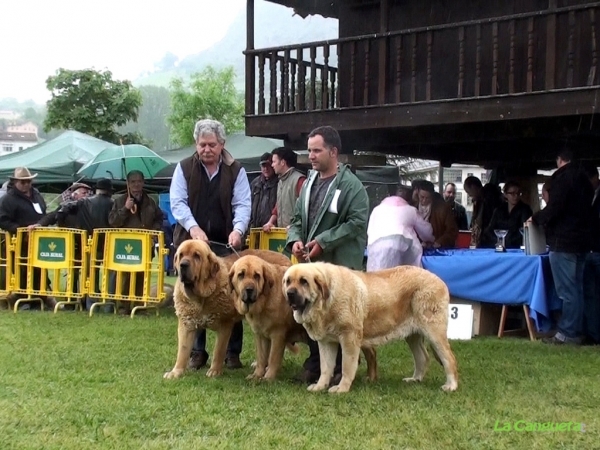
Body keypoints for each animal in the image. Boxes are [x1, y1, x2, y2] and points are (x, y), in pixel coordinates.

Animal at [284, 264, 458, 394]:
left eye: (304, 281)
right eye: (287, 281)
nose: (289, 293)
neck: (326, 302)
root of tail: (439, 279)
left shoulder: (349, 338)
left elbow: (347, 365)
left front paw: (341, 388)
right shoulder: (326, 342)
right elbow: (325, 367)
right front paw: (320, 386)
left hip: (434, 332)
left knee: (448, 358)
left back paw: (451, 386)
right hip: (413, 336)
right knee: (423, 357)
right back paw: (415, 379)